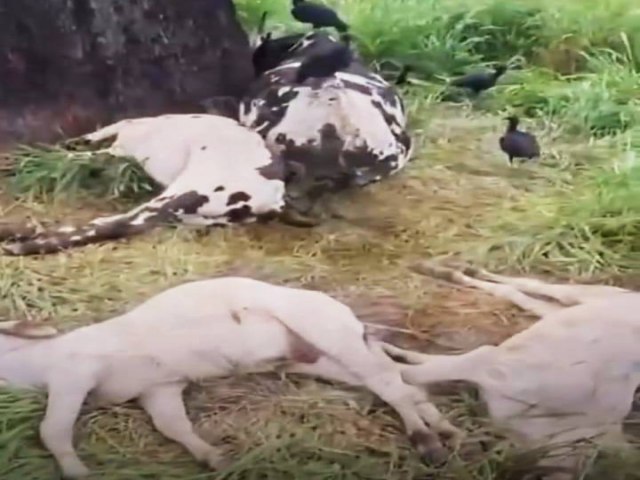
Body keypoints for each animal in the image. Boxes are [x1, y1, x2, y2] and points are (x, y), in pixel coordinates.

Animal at [0, 277, 462, 479]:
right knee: (397, 380)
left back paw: (429, 443)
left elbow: (53, 429)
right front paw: (214, 459)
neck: (37, 361)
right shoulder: (159, 388)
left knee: (388, 383)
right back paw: (445, 429)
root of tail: (349, 316)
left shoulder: (74, 372)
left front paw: (77, 472)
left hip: (328, 331)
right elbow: (172, 425)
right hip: (323, 360)